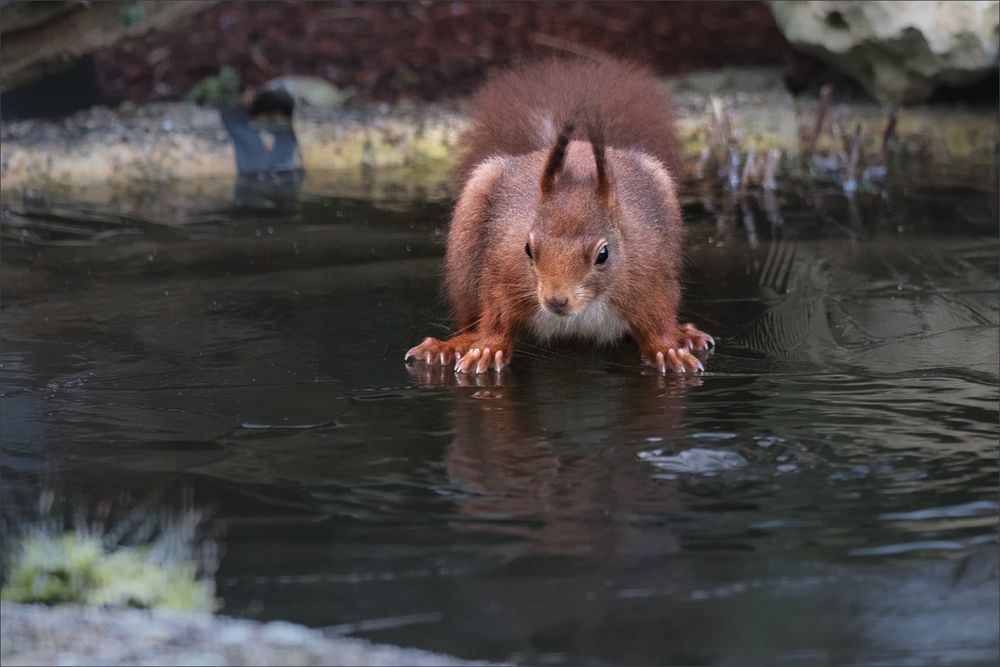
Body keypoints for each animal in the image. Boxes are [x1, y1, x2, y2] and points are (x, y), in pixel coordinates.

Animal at [410, 57, 716, 376]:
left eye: (603, 254)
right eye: (528, 248)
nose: (556, 300)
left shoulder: (650, 276)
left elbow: (658, 319)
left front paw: (669, 350)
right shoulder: (504, 273)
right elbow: (496, 316)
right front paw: (487, 349)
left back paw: (685, 334)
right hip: (467, 248)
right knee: (471, 319)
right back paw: (451, 345)